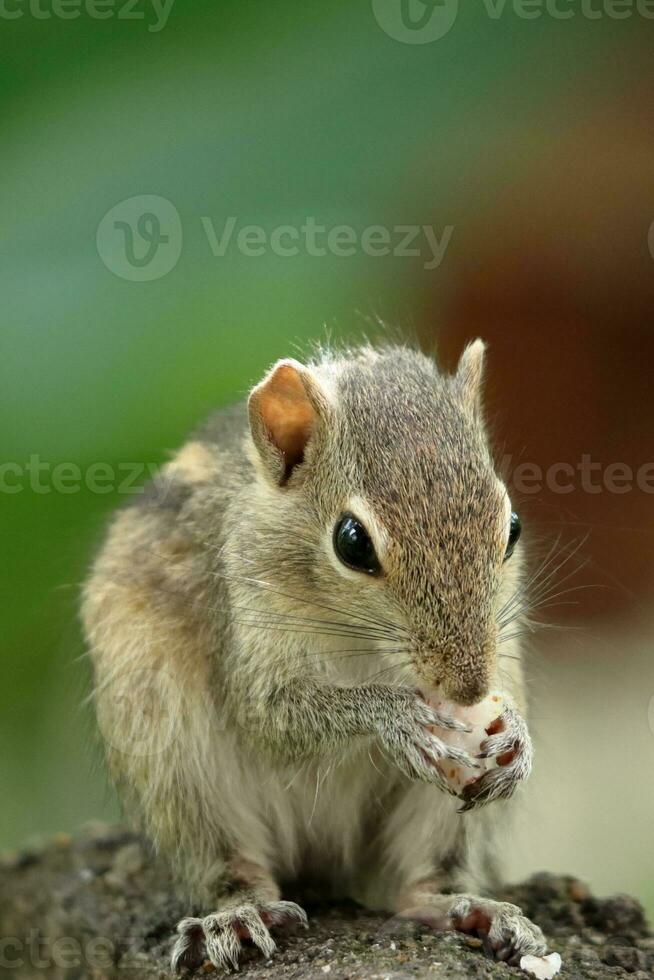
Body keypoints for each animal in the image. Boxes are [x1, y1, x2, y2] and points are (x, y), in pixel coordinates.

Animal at [84, 340, 552, 968]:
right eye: (352, 543)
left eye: (513, 527)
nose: (469, 689)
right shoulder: (246, 639)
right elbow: (274, 719)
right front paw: (397, 719)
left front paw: (516, 740)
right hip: (176, 769)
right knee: (229, 866)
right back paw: (239, 915)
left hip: (436, 824)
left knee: (418, 883)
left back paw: (468, 909)